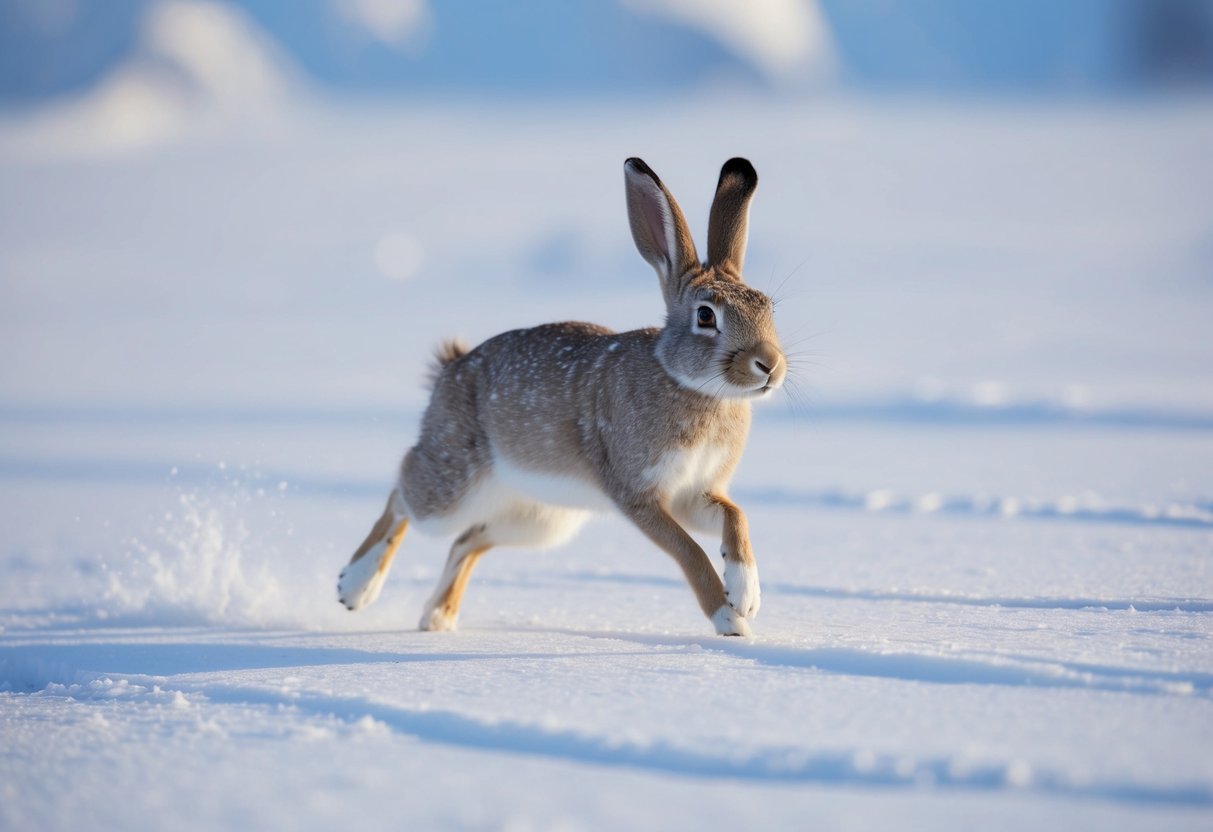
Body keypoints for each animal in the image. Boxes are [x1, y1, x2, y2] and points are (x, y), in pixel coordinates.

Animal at [338, 157, 786, 636]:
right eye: (705, 316)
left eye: (767, 306)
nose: (770, 364)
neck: (691, 384)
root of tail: (450, 369)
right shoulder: (638, 495)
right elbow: (689, 553)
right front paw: (731, 620)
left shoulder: (694, 493)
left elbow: (735, 517)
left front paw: (746, 593)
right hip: (453, 488)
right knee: (404, 496)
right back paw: (355, 587)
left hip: (539, 519)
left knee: (468, 539)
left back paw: (436, 617)